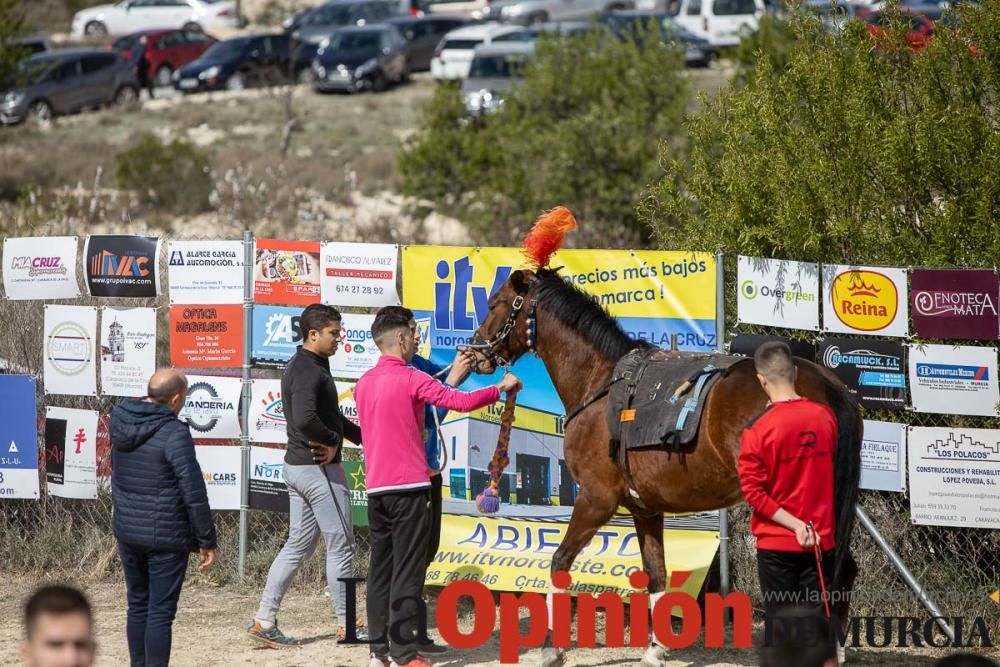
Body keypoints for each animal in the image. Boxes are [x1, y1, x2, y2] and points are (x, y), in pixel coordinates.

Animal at [464, 268, 864, 667]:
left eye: (496, 304)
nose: (474, 350)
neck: (601, 385)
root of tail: (826, 383)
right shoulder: (645, 509)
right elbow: (656, 573)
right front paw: (656, 648)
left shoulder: (596, 499)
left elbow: (559, 561)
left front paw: (551, 646)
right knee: (843, 567)